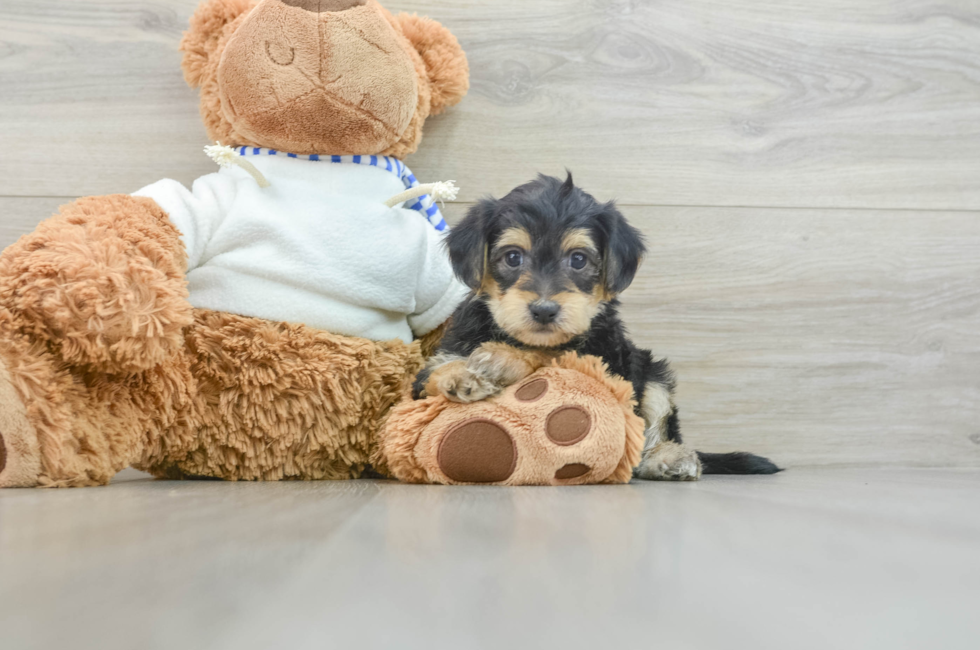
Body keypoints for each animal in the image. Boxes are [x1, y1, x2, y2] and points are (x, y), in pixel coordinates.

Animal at [416, 175, 780, 478]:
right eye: (513, 257)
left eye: (578, 260)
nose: (544, 310)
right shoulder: (435, 364)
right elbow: (433, 376)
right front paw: (462, 375)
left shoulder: (608, 362)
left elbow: (556, 354)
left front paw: (503, 358)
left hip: (652, 372)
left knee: (658, 423)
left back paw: (668, 458)